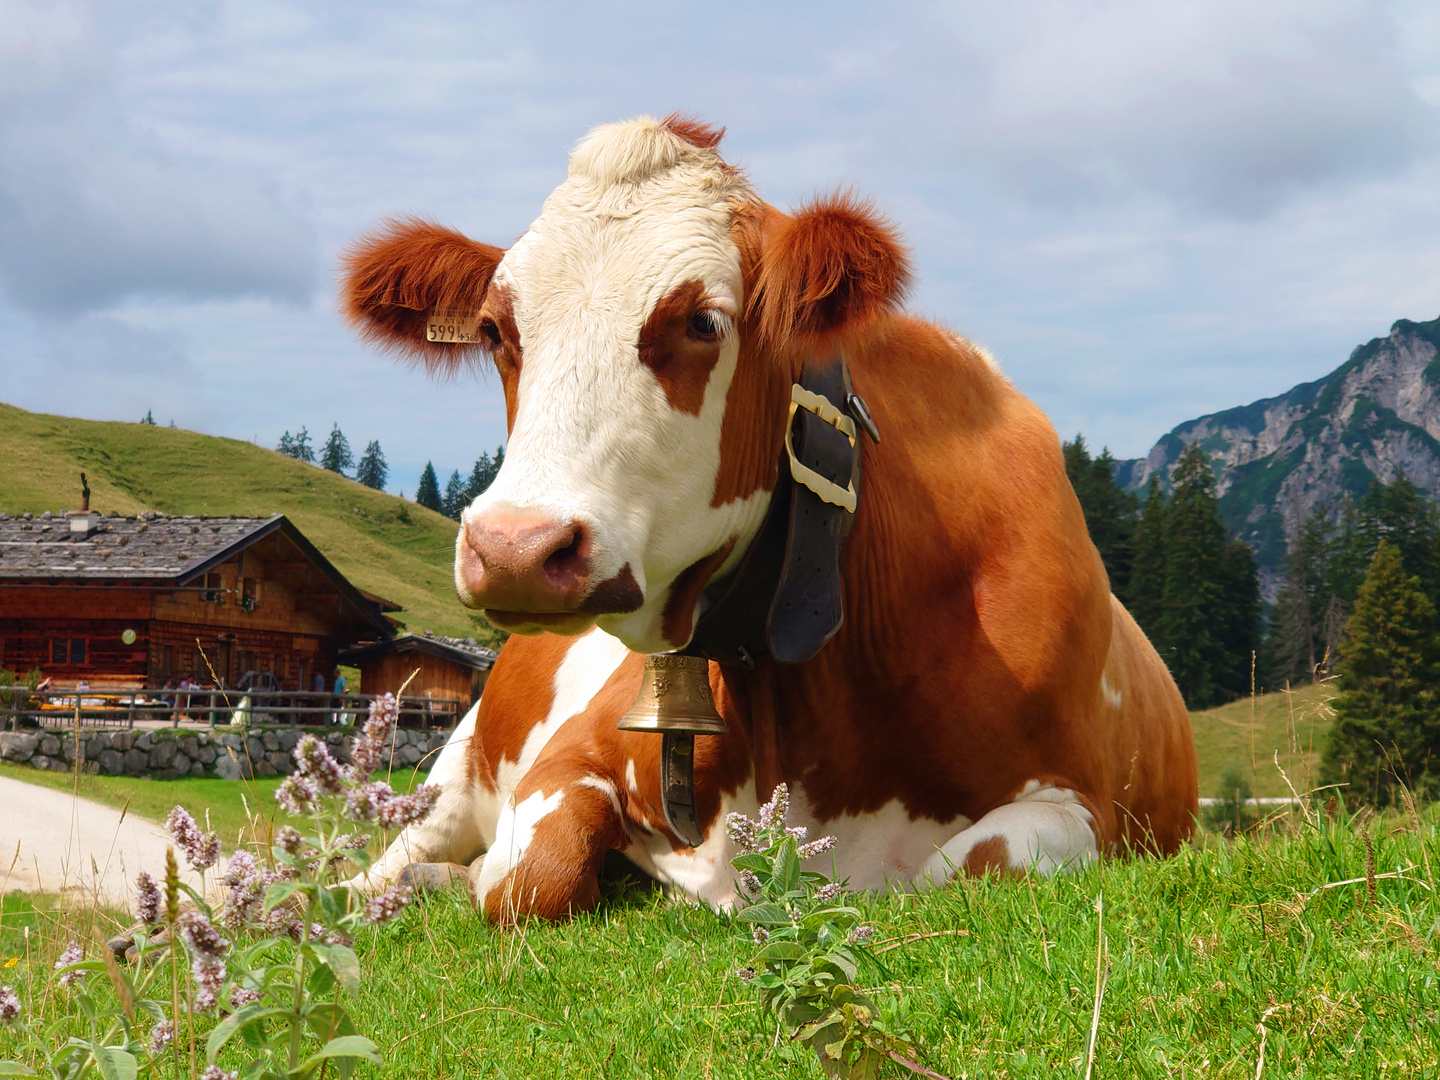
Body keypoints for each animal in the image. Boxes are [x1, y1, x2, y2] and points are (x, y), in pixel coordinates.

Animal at [334, 114, 1192, 921]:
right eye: (494, 329)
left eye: (702, 322)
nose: (515, 549)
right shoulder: (571, 753)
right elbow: (529, 878)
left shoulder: (1082, 805)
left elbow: (958, 869)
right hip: (460, 755)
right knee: (400, 850)